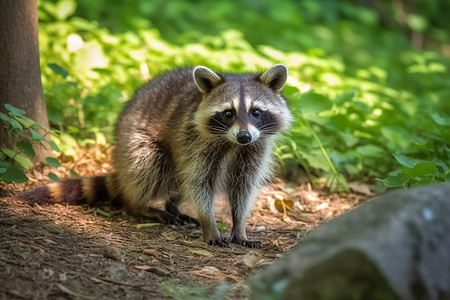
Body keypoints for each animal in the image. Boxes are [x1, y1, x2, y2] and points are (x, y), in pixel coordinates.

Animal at [15, 65, 292, 248]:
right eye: (228, 113)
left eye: (256, 112)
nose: (244, 136)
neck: (231, 143)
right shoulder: (197, 142)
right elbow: (199, 183)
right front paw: (210, 225)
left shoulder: (254, 148)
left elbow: (243, 187)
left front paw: (240, 226)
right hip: (136, 142)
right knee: (151, 167)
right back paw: (142, 206)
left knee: (178, 180)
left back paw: (173, 205)